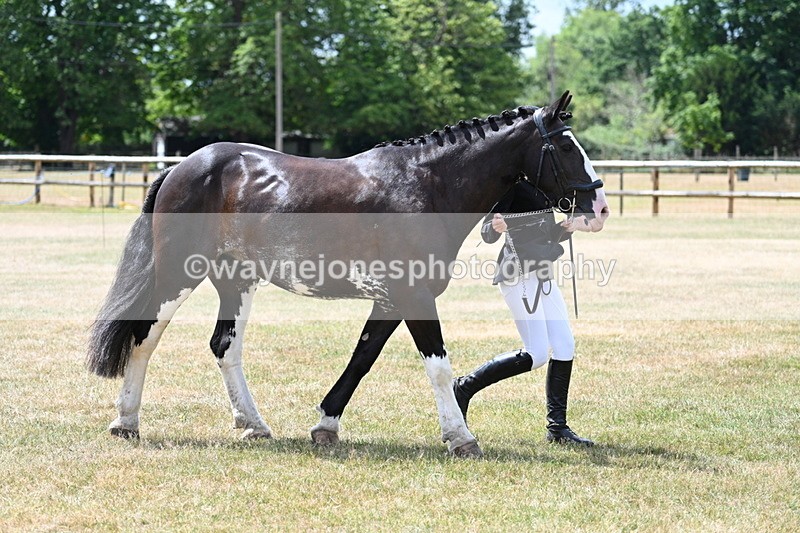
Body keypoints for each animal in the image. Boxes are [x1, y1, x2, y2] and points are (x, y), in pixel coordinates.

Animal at [88, 91, 609, 457]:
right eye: (566, 146)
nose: (600, 206)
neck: (426, 185)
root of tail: (183, 166)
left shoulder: (391, 299)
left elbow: (362, 360)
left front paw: (325, 425)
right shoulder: (414, 296)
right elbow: (438, 366)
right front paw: (461, 437)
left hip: (236, 281)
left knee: (224, 347)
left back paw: (253, 425)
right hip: (179, 274)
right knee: (144, 337)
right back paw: (126, 423)